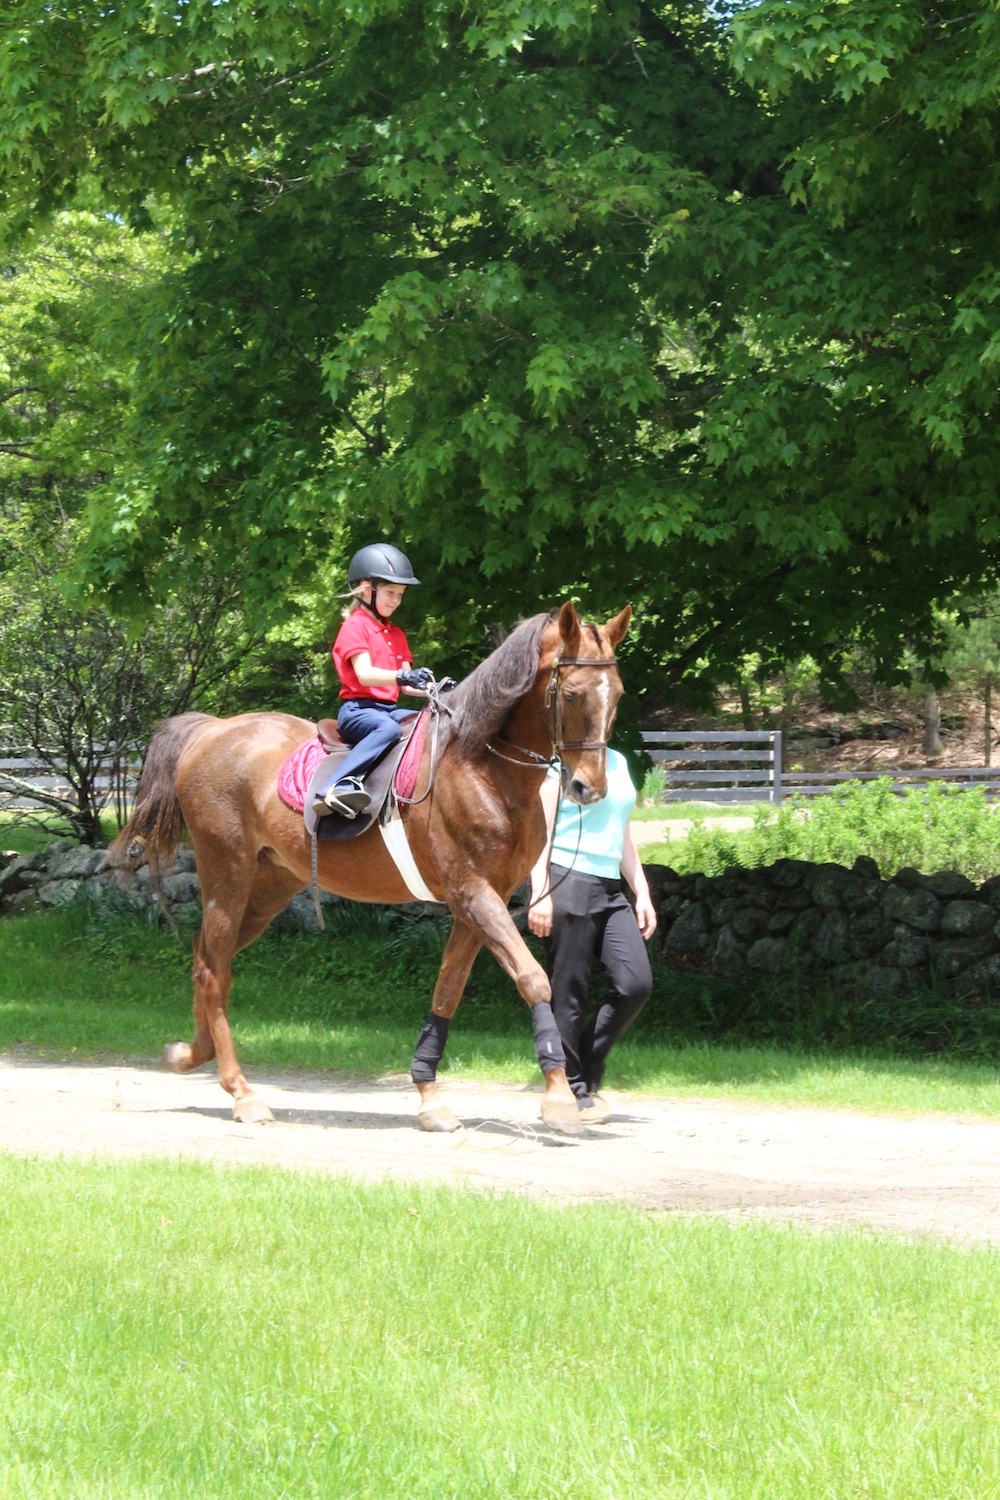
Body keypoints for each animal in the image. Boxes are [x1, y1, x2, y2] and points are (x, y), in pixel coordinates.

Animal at [113, 597, 629, 1134]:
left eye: (617, 693)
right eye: (570, 694)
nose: (589, 789)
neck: (481, 765)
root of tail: (212, 730)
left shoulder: (480, 901)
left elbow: (447, 990)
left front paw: (429, 1095)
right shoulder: (473, 893)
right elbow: (532, 979)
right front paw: (558, 1096)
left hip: (269, 888)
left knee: (206, 960)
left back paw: (191, 1054)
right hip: (226, 875)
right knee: (215, 971)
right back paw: (242, 1092)